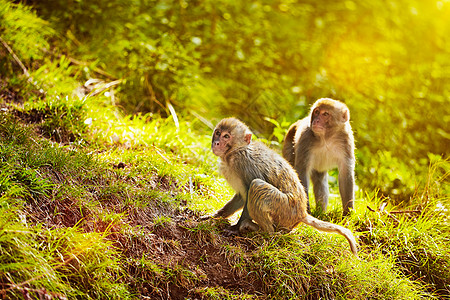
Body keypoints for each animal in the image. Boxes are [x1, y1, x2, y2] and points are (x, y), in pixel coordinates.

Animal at [208, 117, 358, 255]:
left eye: (226, 136)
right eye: (218, 132)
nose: (217, 142)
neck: (234, 152)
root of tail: (302, 212)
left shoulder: (243, 163)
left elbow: (250, 188)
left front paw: (235, 228)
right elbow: (241, 196)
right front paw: (216, 216)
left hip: (286, 209)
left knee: (257, 186)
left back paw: (264, 232)